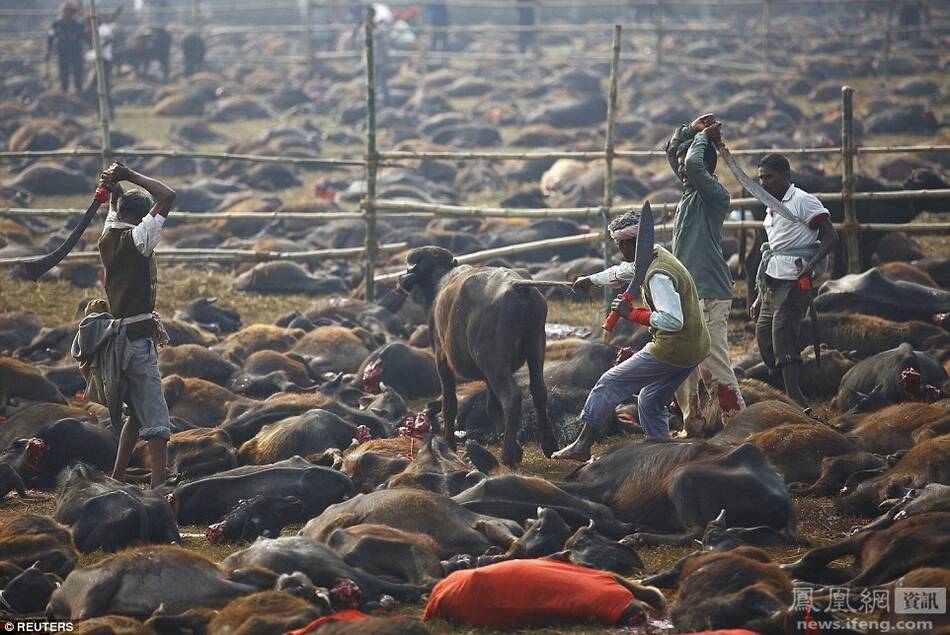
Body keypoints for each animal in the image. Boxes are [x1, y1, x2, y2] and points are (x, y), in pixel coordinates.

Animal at [400, 246, 556, 464]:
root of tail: (517, 286)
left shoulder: (442, 360)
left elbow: (449, 404)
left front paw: (449, 444)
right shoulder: (488, 376)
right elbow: (492, 407)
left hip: (492, 360)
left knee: (511, 397)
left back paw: (507, 455)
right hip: (535, 346)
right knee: (538, 390)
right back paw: (549, 445)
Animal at [784, 512, 950, 588]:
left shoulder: (864, 538)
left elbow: (814, 555)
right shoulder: (856, 564)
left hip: (901, 545)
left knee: (855, 584)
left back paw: (802, 585)